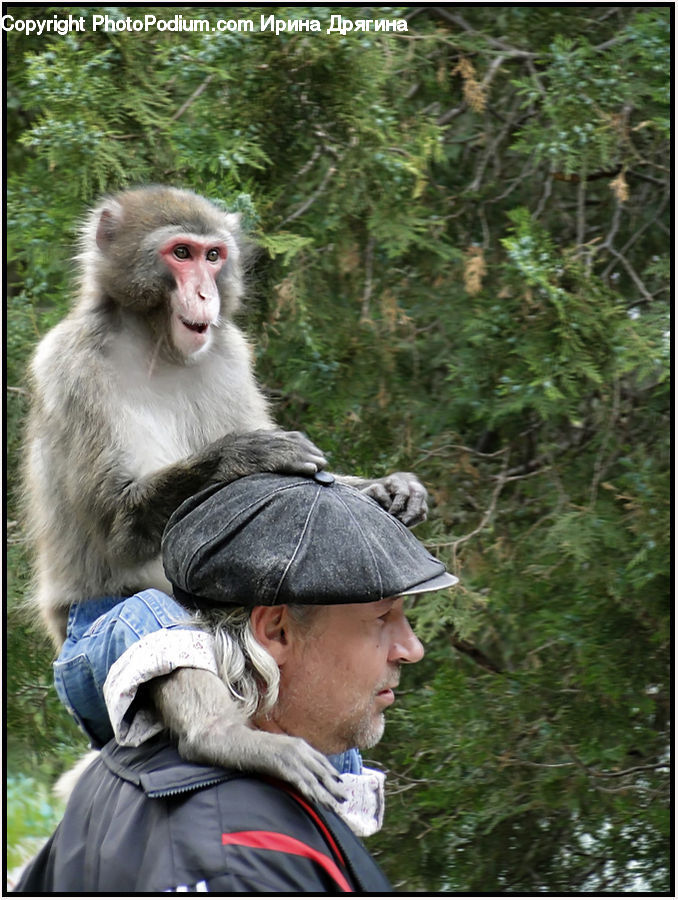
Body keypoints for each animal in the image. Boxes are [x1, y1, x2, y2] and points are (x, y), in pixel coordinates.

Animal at [22, 185, 428, 804]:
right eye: (180, 253)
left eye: (213, 256)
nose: (204, 291)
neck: (155, 343)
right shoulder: (72, 366)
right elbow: (116, 524)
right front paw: (247, 454)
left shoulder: (229, 353)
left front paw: (387, 488)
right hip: (80, 651)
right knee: (144, 614)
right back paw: (221, 735)